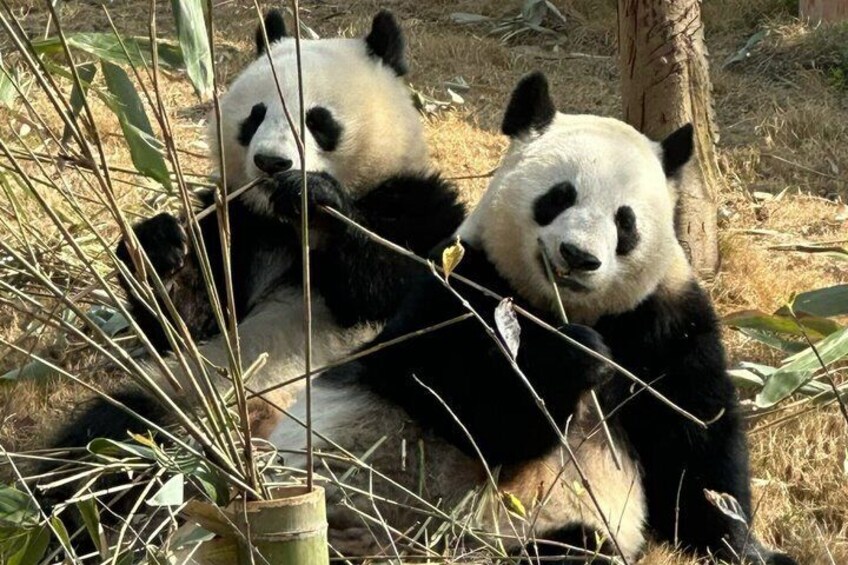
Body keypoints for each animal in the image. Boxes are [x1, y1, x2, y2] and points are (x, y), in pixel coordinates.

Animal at [267, 73, 797, 564]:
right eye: (559, 197)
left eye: (624, 221)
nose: (578, 257)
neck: (567, 309)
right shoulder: (462, 284)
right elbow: (456, 400)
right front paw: (574, 356)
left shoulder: (664, 318)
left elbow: (695, 439)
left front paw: (745, 546)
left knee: (577, 546)